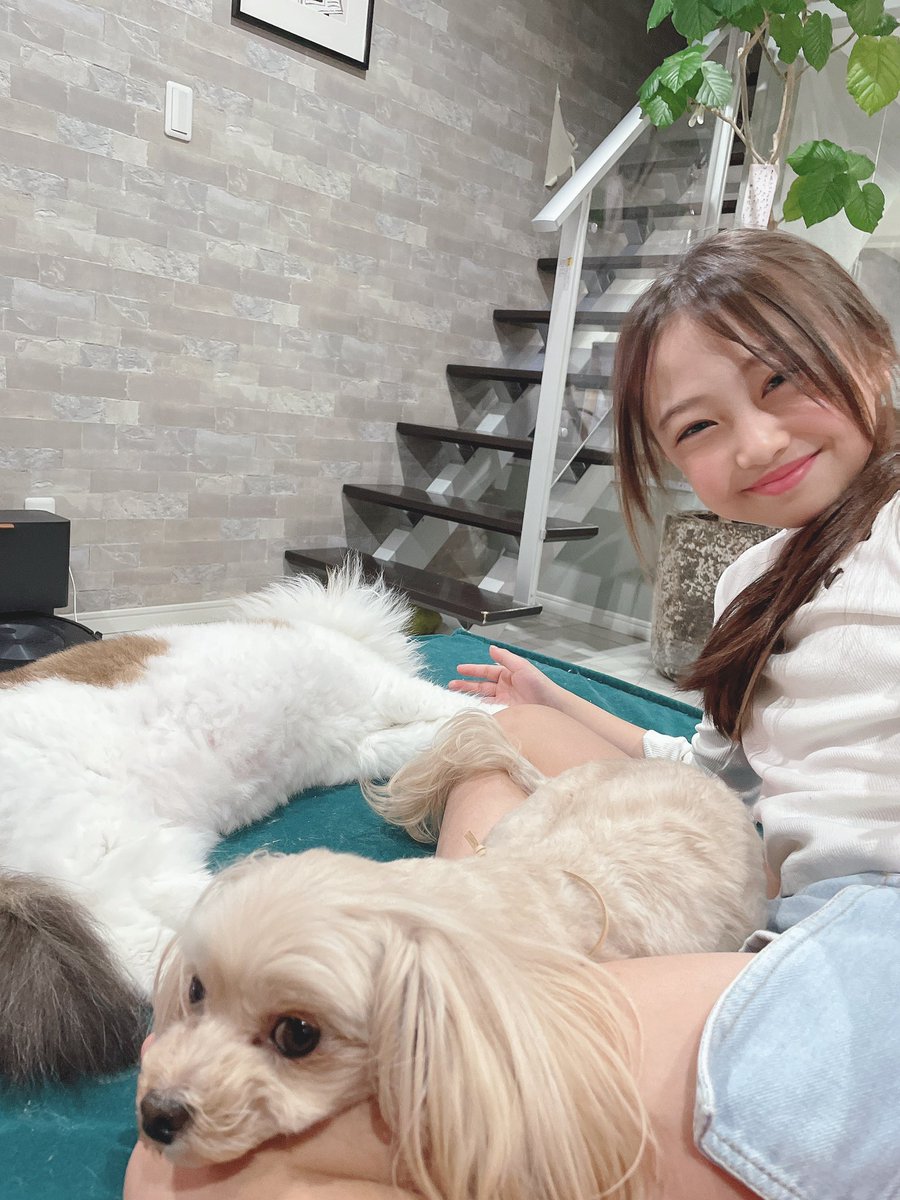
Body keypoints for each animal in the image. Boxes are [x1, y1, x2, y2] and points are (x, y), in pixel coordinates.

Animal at [0, 562, 484, 1086]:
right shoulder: (386, 692)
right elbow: (466, 709)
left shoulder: (360, 747)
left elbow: (431, 737)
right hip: (107, 856)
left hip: (119, 877)